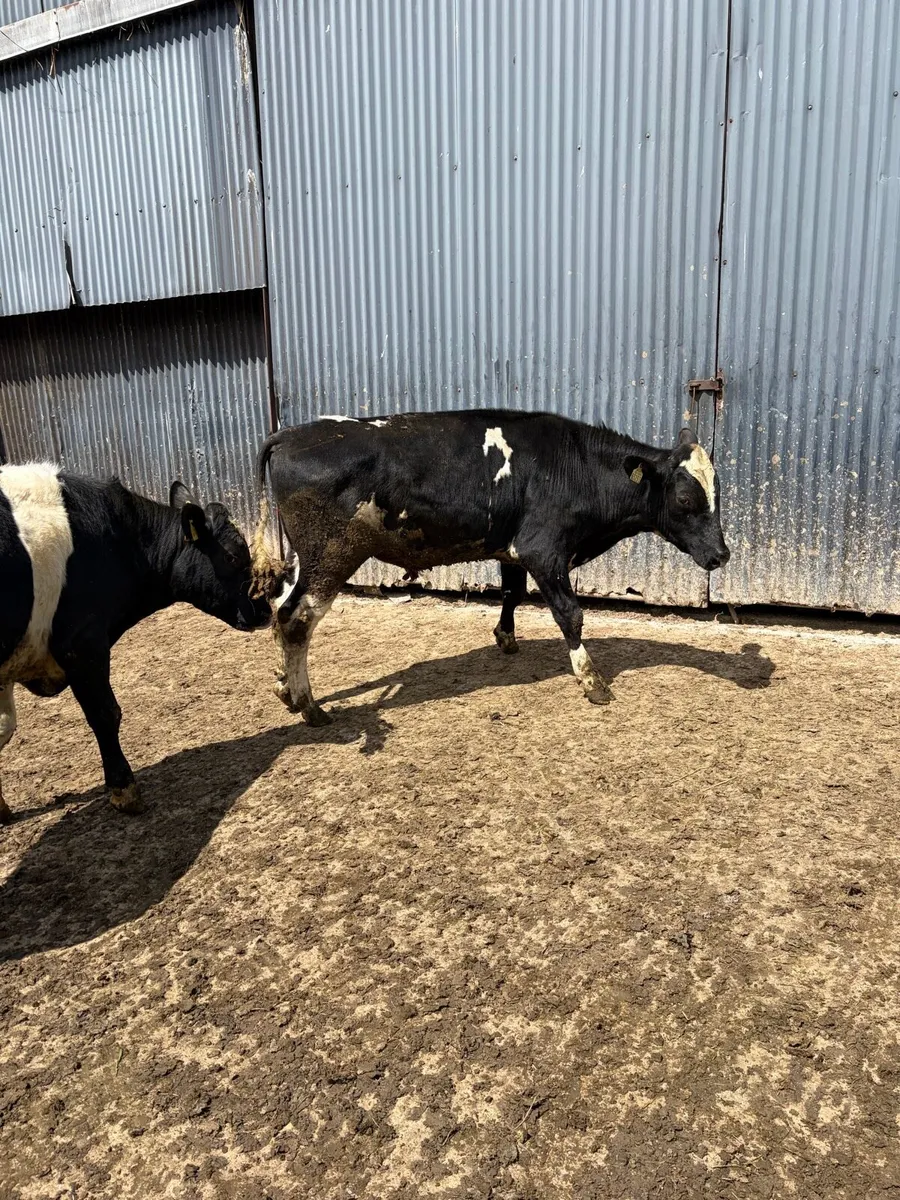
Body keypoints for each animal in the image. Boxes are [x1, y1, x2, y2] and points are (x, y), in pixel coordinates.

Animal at [0, 465, 272, 823]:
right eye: (232, 556)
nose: (265, 608)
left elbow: (3, 728)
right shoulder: (83, 643)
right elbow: (105, 714)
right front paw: (124, 792)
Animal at [250, 409, 730, 727]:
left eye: (718, 493)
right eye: (685, 499)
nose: (722, 555)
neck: (575, 466)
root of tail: (290, 434)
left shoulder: (511, 550)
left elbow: (512, 594)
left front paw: (505, 637)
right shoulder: (544, 550)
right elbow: (570, 615)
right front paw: (592, 681)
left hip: (306, 558)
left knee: (280, 607)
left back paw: (284, 684)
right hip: (332, 554)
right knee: (297, 619)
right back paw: (310, 707)